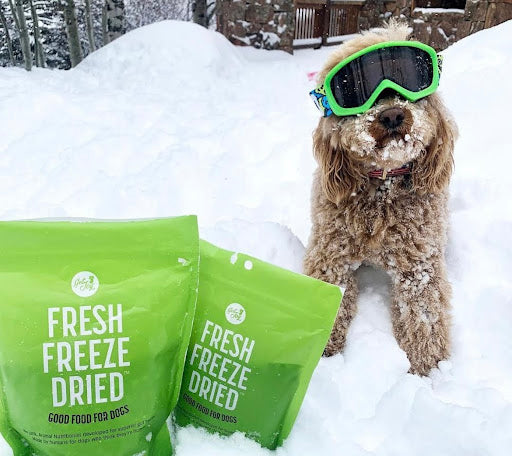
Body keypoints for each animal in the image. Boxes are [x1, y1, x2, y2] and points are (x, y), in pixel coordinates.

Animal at [302, 23, 458, 376]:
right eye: (352, 89)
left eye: (408, 78)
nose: (392, 115)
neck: (381, 188)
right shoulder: (331, 255)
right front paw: (321, 353)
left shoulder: (419, 266)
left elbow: (424, 317)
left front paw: (429, 371)